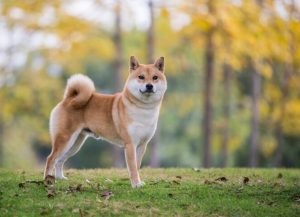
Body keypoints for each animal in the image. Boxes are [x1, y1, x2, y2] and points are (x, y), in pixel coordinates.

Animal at [44, 56, 166, 188]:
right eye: (141, 77)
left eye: (155, 77)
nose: (149, 86)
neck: (143, 109)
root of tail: (69, 99)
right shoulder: (130, 145)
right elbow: (133, 168)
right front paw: (135, 184)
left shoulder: (142, 145)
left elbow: (137, 166)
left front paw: (138, 182)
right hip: (65, 139)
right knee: (51, 158)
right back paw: (47, 180)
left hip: (74, 144)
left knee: (59, 160)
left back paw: (60, 177)